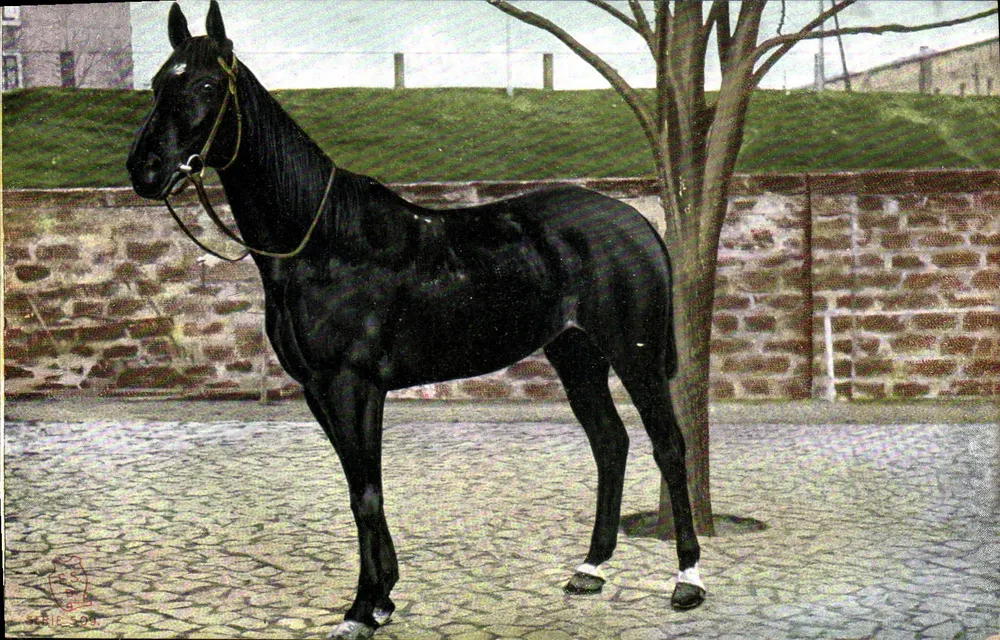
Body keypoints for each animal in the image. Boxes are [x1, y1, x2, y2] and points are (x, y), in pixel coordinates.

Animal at [126, 3, 704, 638]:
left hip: (634, 352)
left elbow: (366, 493)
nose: (144, 170)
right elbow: (359, 486)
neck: (323, 243)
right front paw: (382, 599)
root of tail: (637, 223)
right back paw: (591, 569)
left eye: (206, 84)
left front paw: (361, 609)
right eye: (157, 82)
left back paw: (687, 581)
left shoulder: (353, 386)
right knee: (610, 443)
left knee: (668, 446)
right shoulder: (319, 390)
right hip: (576, 354)